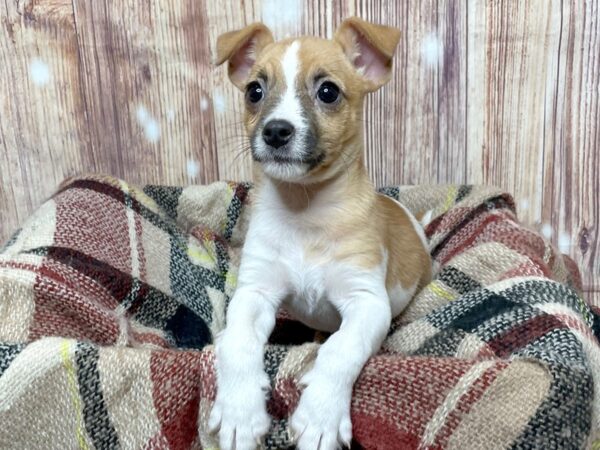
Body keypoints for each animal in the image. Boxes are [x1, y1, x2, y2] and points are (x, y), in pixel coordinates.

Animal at [209, 17, 428, 450]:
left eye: (328, 92)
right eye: (254, 91)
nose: (276, 131)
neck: (304, 213)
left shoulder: (367, 303)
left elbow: (342, 349)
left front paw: (320, 416)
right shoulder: (254, 293)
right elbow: (238, 342)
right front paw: (239, 411)